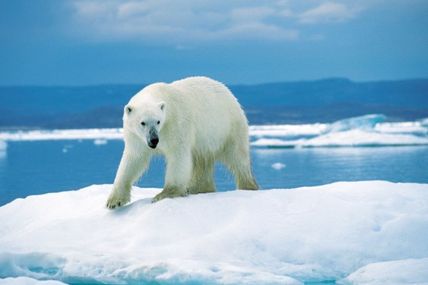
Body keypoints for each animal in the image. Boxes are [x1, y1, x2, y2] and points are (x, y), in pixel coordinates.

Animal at [106, 76, 258, 207]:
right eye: (142, 123)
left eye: (158, 121)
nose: (154, 140)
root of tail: (231, 95)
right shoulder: (136, 137)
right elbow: (133, 159)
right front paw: (114, 201)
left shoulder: (176, 123)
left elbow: (178, 156)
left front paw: (164, 194)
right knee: (201, 161)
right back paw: (198, 188)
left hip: (228, 128)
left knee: (238, 158)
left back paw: (248, 186)